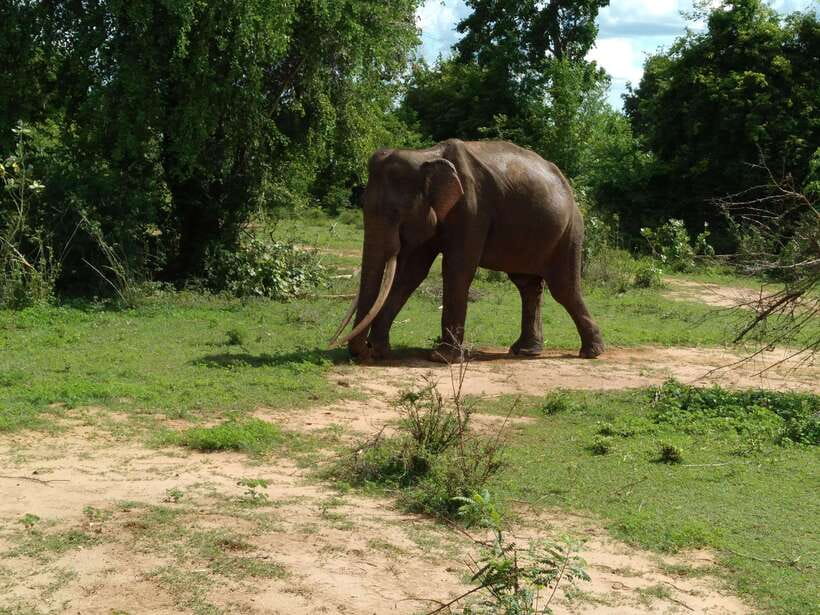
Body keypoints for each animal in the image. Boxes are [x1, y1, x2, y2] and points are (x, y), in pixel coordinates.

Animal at [329, 139, 604, 362]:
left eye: (396, 213)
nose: (362, 354)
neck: (425, 155)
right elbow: (411, 274)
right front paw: (381, 351)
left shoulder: (472, 209)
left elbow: (456, 269)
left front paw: (441, 358)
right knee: (527, 285)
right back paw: (525, 351)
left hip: (570, 231)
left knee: (563, 288)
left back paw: (591, 352)